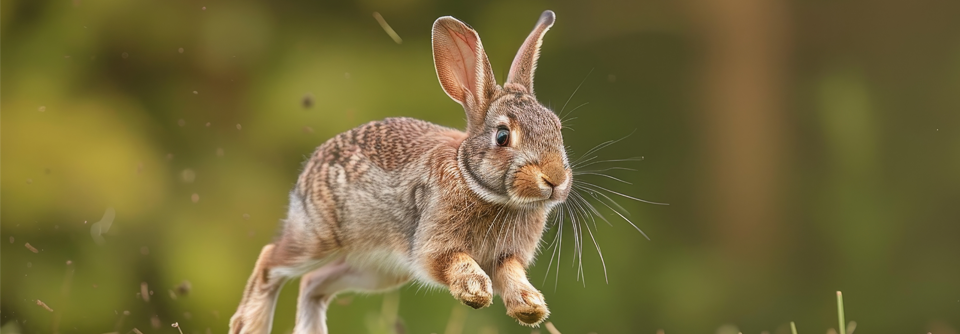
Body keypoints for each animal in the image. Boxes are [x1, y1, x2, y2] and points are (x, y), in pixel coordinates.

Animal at [228, 10, 568, 334]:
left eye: (558, 129)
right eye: (502, 136)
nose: (555, 180)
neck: (476, 183)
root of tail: (309, 170)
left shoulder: (507, 257)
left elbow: (510, 273)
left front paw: (530, 306)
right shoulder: (432, 244)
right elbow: (453, 261)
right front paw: (476, 291)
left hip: (375, 270)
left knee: (312, 283)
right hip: (317, 239)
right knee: (270, 261)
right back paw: (249, 325)